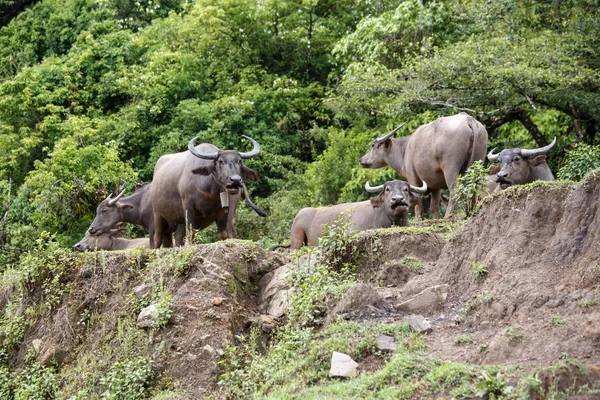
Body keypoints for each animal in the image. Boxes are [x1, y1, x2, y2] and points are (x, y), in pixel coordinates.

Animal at [356, 111, 488, 219]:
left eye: (373, 145)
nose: (361, 160)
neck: (405, 150)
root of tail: (468, 120)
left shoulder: (413, 178)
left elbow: (416, 202)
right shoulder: (436, 186)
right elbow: (434, 207)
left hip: (451, 168)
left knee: (455, 190)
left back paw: (447, 216)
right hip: (476, 164)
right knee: (475, 186)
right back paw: (471, 211)